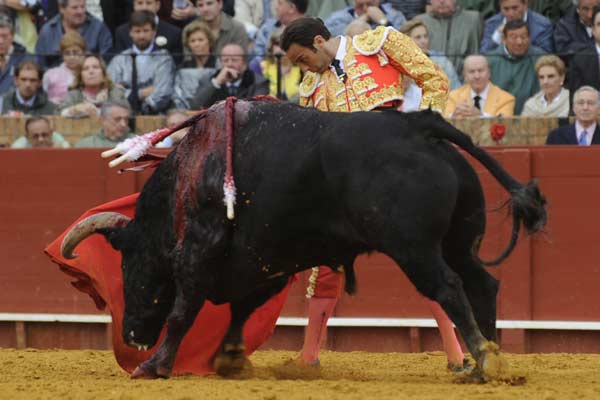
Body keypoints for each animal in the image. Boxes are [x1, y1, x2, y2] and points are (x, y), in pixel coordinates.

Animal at [61, 100, 548, 378]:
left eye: (130, 265)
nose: (132, 334)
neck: (193, 170)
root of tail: (419, 128)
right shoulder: (264, 258)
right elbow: (243, 308)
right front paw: (229, 357)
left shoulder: (200, 250)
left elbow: (184, 310)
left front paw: (154, 365)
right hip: (457, 242)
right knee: (482, 283)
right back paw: (489, 360)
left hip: (414, 248)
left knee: (446, 288)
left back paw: (482, 357)